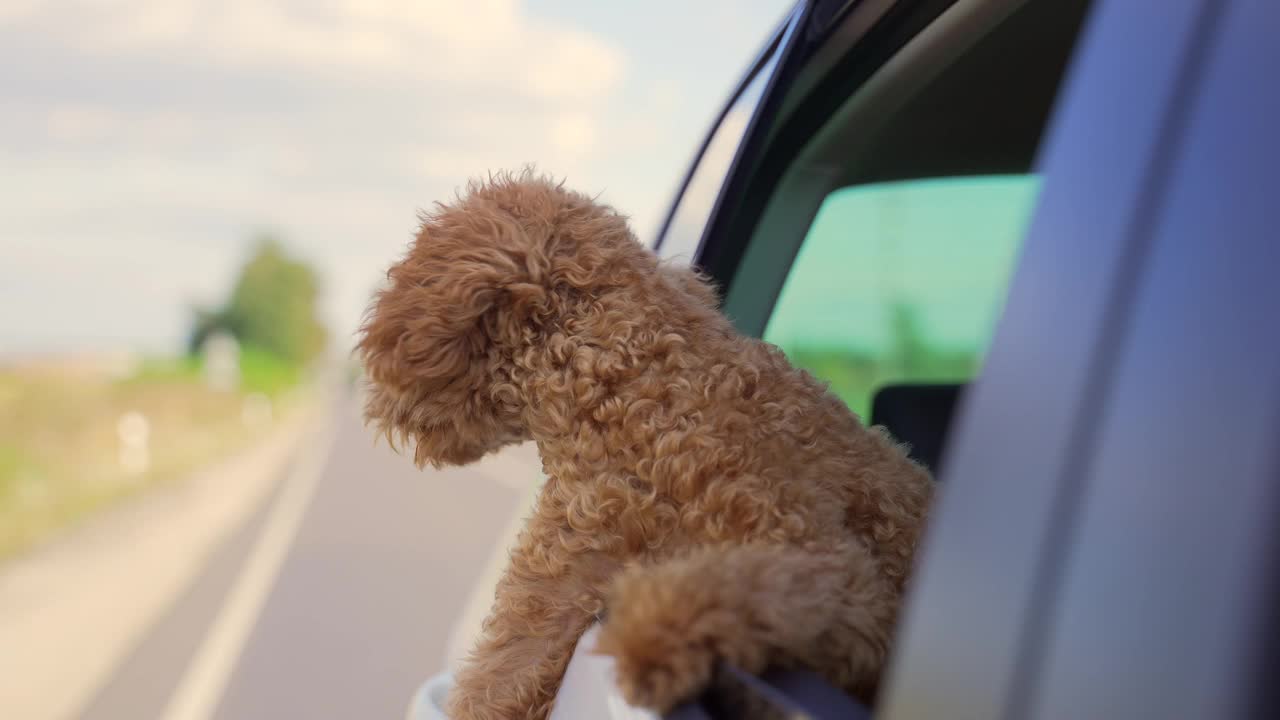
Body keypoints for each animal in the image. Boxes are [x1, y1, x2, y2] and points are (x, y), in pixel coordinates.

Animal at [355, 169, 936, 717]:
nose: (377, 395)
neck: (639, 396)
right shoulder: (558, 585)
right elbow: (503, 678)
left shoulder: (829, 563)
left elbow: (735, 591)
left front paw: (651, 643)